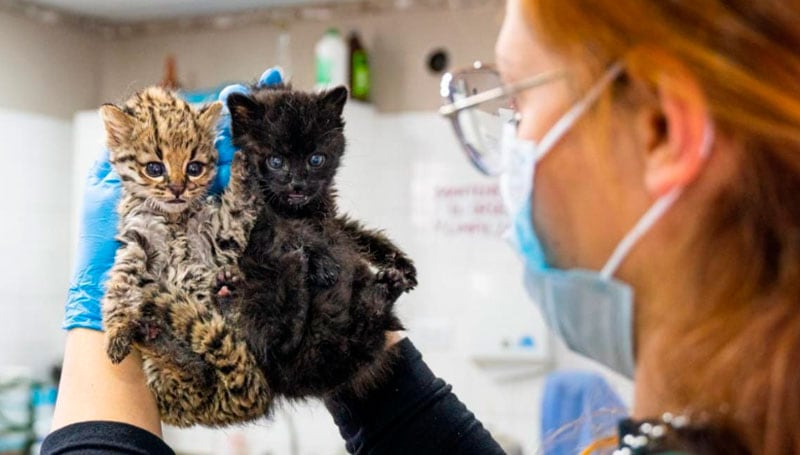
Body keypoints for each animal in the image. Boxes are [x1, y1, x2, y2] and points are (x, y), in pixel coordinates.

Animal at [98, 86, 274, 428]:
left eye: (195, 168)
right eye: (155, 168)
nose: (178, 189)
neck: (175, 218)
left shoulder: (222, 235)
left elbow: (236, 208)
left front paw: (243, 166)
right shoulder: (136, 241)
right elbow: (121, 283)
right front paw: (118, 328)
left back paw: (226, 292)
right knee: (198, 373)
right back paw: (157, 338)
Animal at [223, 85, 416, 400]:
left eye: (316, 159)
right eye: (276, 161)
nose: (298, 184)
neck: (298, 210)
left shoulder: (330, 218)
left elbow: (357, 234)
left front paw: (400, 262)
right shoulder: (243, 217)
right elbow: (284, 229)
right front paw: (321, 260)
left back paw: (385, 289)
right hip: (252, 294)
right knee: (276, 342)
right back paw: (298, 270)